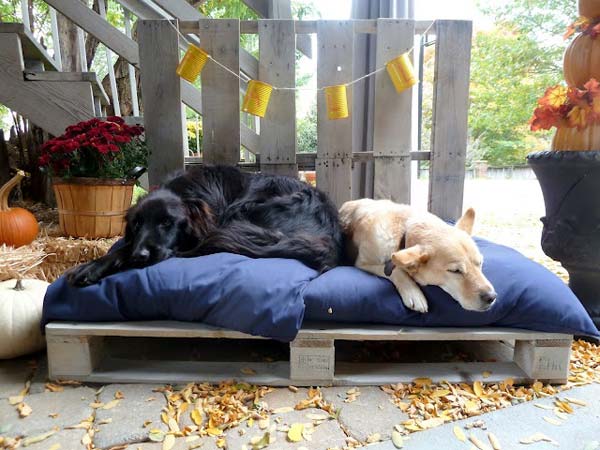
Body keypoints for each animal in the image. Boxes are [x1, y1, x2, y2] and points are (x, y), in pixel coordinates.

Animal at [67, 163, 342, 286]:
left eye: (167, 222)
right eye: (136, 225)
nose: (140, 255)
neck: (187, 192)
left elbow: (123, 250)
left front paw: (93, 267)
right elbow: (124, 246)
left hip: (249, 206)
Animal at [340, 200, 500, 312]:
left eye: (480, 263)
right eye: (455, 271)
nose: (491, 297)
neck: (404, 232)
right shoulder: (362, 263)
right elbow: (396, 270)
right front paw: (414, 293)